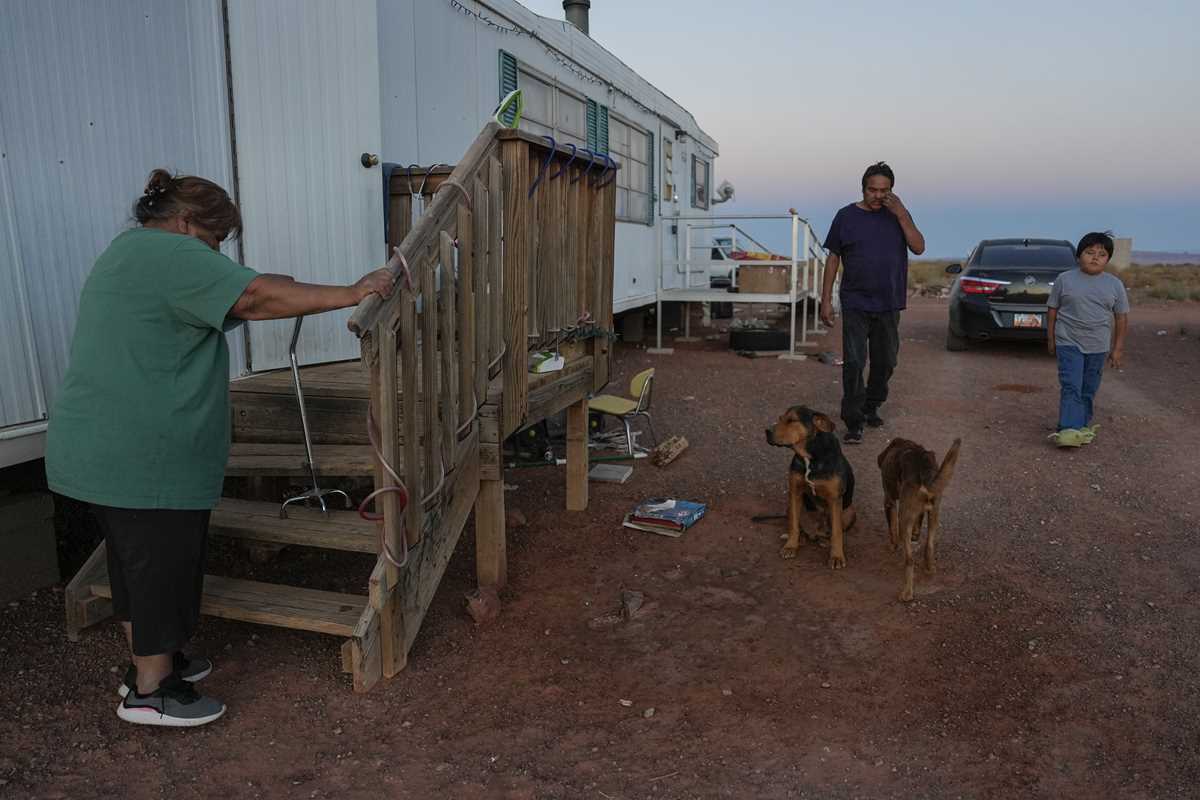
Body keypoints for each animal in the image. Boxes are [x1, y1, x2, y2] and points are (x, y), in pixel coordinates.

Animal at [765, 406, 857, 569]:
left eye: (792, 420)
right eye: (780, 418)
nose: (766, 431)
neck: (809, 456)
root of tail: (815, 533)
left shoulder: (834, 499)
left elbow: (837, 532)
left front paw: (837, 557)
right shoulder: (795, 492)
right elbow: (793, 525)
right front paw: (791, 546)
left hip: (850, 511)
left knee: (831, 531)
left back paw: (824, 541)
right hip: (790, 507)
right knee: (799, 526)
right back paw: (801, 539)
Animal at [877, 437, 962, 602]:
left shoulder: (889, 501)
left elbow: (892, 529)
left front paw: (892, 545)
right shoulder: (920, 512)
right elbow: (918, 522)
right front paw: (915, 535)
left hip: (904, 519)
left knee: (909, 561)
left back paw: (907, 593)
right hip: (934, 514)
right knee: (929, 545)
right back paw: (930, 568)